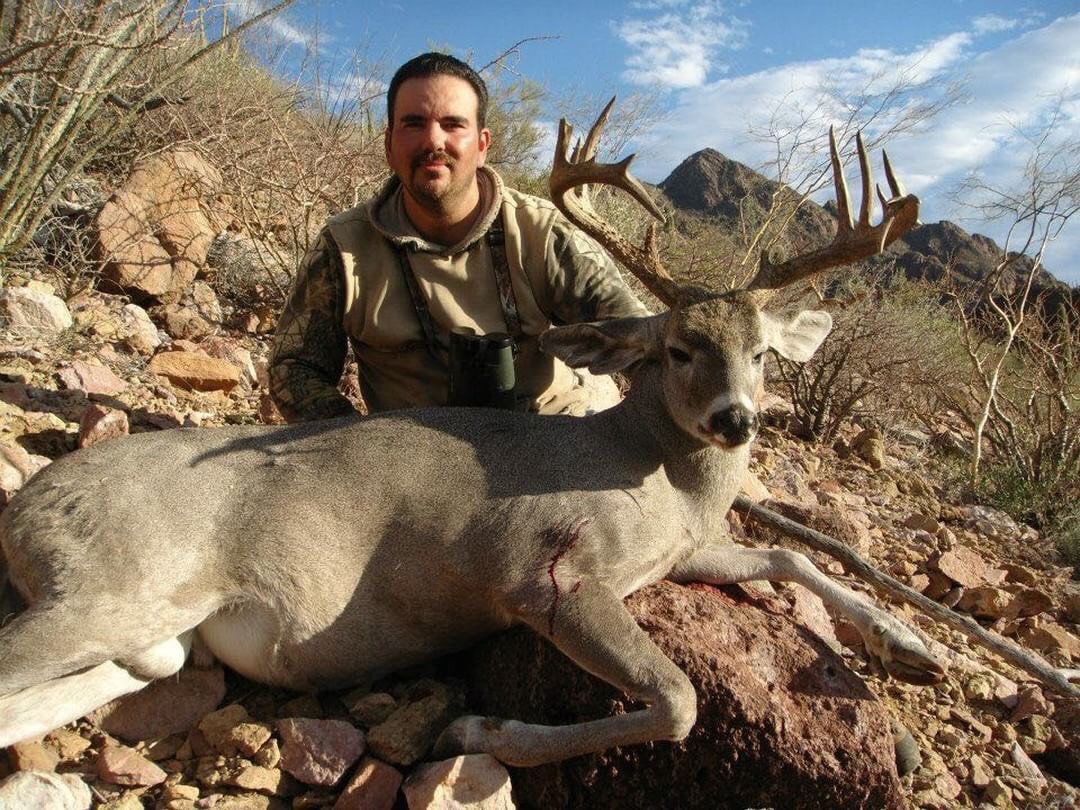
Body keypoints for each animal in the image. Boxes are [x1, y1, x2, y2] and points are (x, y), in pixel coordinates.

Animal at [0, 102, 945, 765]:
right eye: (678, 349)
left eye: (762, 355)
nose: (733, 419)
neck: (655, 477)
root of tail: (26, 509)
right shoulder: (547, 573)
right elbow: (678, 700)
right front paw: (481, 733)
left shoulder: (675, 556)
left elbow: (788, 554)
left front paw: (915, 645)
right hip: (106, 587)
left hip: (151, 643)